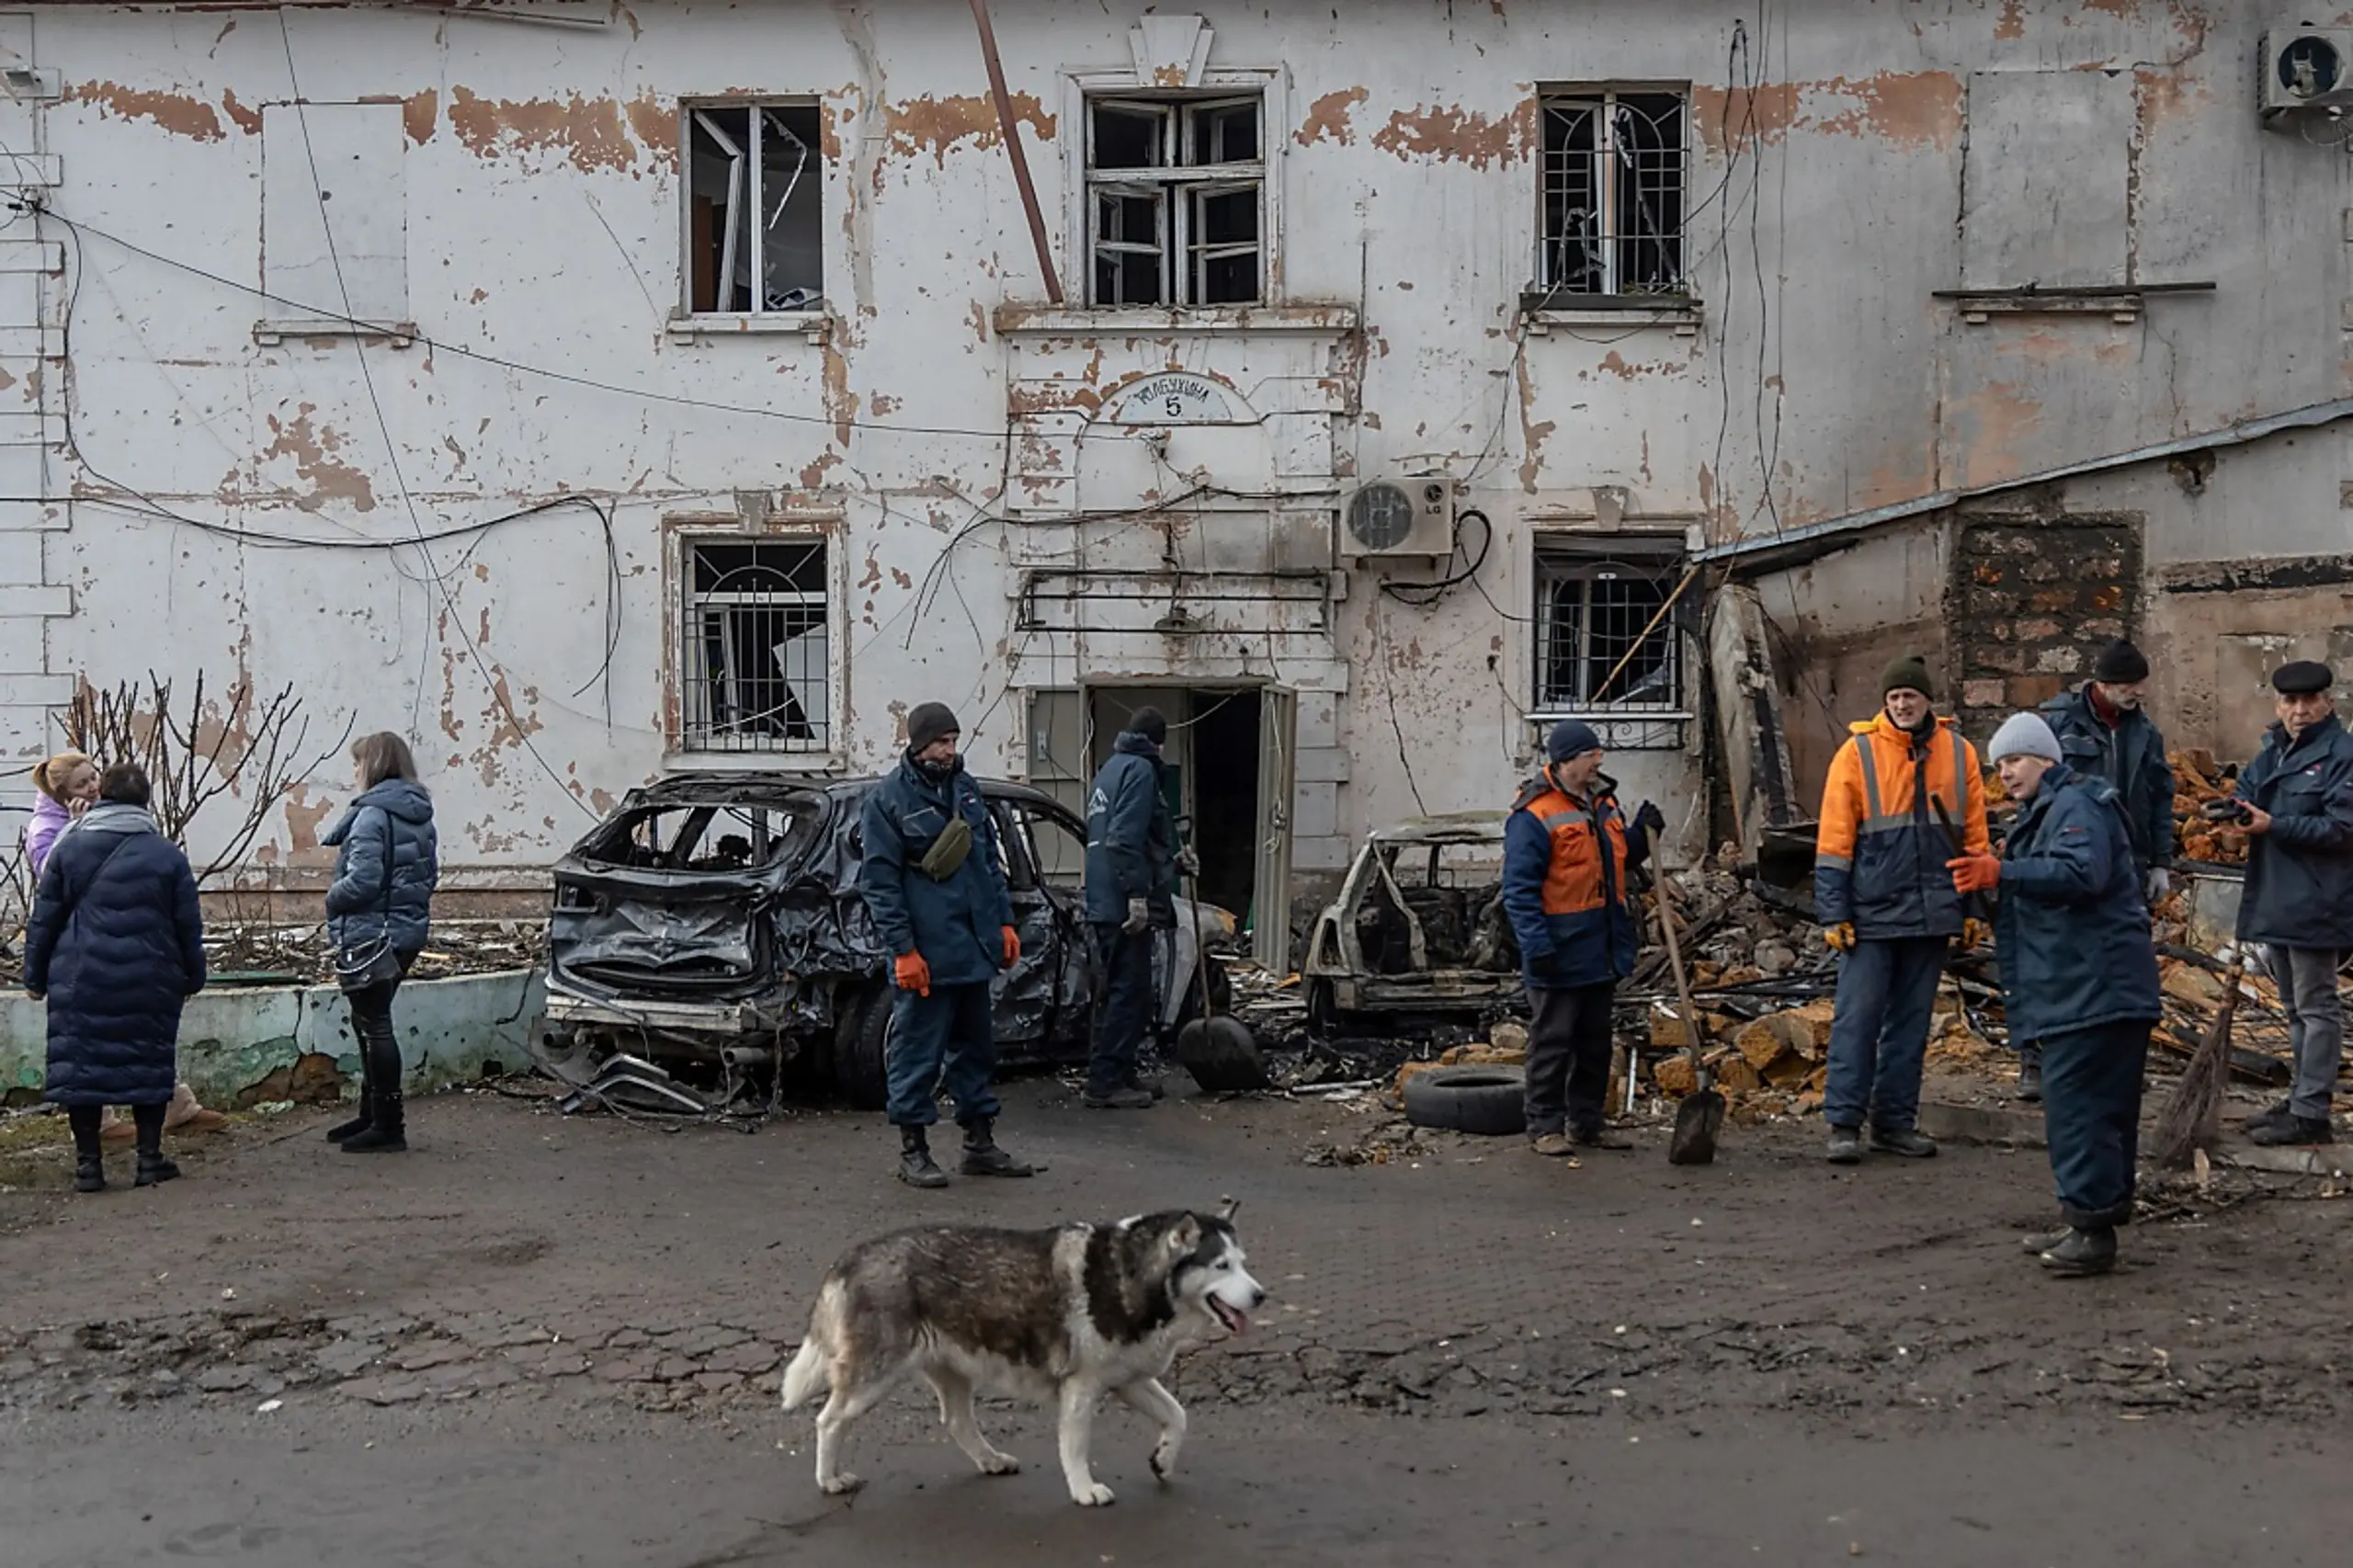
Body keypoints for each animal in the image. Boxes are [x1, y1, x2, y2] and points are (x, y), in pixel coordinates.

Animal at [780, 1200, 1270, 1497]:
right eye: (1221, 1266)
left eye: (1243, 1264)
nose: (1261, 1295)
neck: (1133, 1277)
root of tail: (852, 1256)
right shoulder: (1081, 1387)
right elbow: (1075, 1446)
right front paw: (1084, 1490)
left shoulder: (1131, 1380)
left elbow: (1178, 1417)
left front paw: (1164, 1460)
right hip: (874, 1379)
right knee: (828, 1421)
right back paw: (828, 1478)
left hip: (954, 1369)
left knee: (957, 1422)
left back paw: (990, 1460)